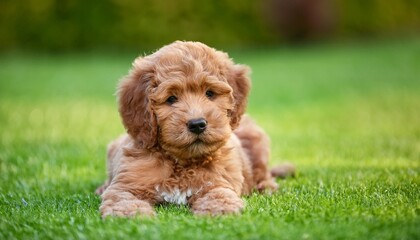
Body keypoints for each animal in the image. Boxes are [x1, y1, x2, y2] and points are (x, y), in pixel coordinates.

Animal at [95, 41, 294, 218]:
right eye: (171, 98)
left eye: (210, 93)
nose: (197, 124)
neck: (182, 163)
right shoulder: (127, 183)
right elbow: (123, 198)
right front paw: (128, 213)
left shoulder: (218, 182)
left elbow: (219, 194)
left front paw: (219, 209)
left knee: (263, 172)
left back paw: (267, 187)